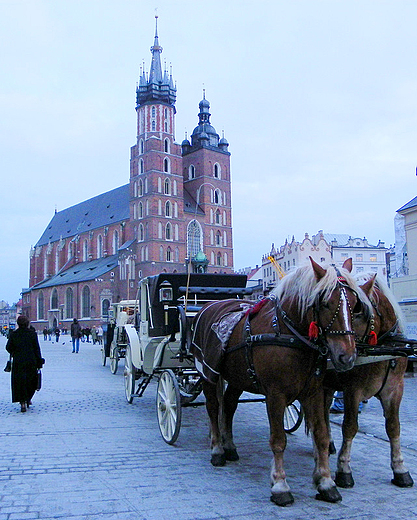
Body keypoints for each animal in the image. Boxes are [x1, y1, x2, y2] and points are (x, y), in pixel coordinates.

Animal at [190, 258, 362, 506]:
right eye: (325, 303)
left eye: (355, 304)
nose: (346, 356)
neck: (289, 332)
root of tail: (207, 307)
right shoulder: (275, 395)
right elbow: (279, 440)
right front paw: (280, 485)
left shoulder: (313, 392)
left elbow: (321, 435)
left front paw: (326, 482)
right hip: (207, 373)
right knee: (213, 408)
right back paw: (217, 450)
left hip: (237, 377)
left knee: (229, 406)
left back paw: (229, 446)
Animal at [322, 272, 412, 492]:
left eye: (357, 309)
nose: (345, 354)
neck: (383, 351)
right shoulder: (352, 391)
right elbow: (350, 426)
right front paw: (344, 469)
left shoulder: (394, 390)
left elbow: (393, 426)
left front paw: (400, 468)